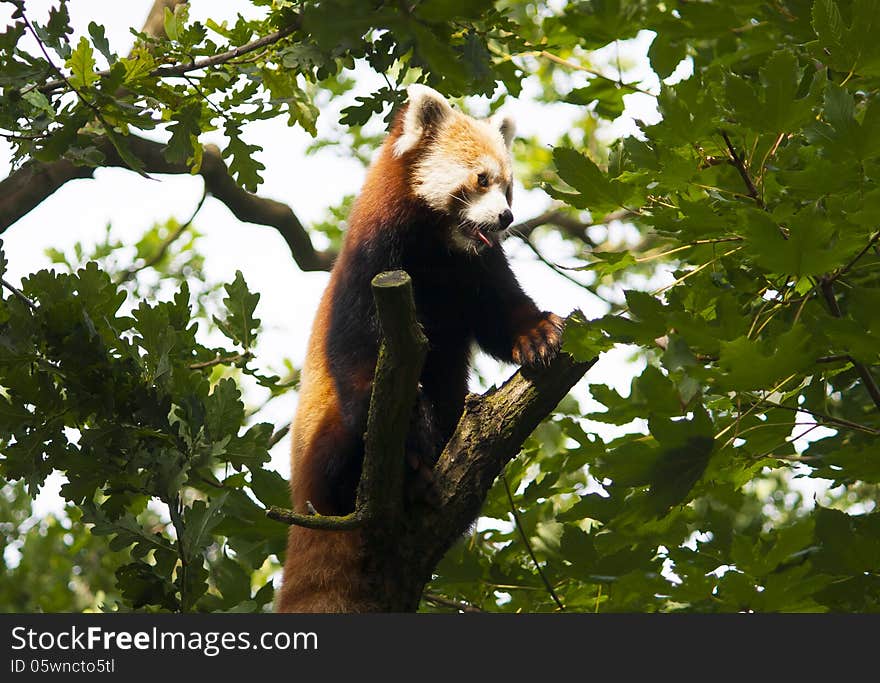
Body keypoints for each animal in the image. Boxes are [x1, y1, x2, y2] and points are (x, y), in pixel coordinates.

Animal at [276, 85, 564, 616]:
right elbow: (357, 354)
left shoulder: (476, 268)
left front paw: (538, 333)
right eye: (481, 179)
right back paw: (410, 470)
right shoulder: (369, 269)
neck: (437, 250)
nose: (506, 217)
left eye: (509, 187)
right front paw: (412, 427)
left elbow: (501, 314)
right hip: (323, 450)